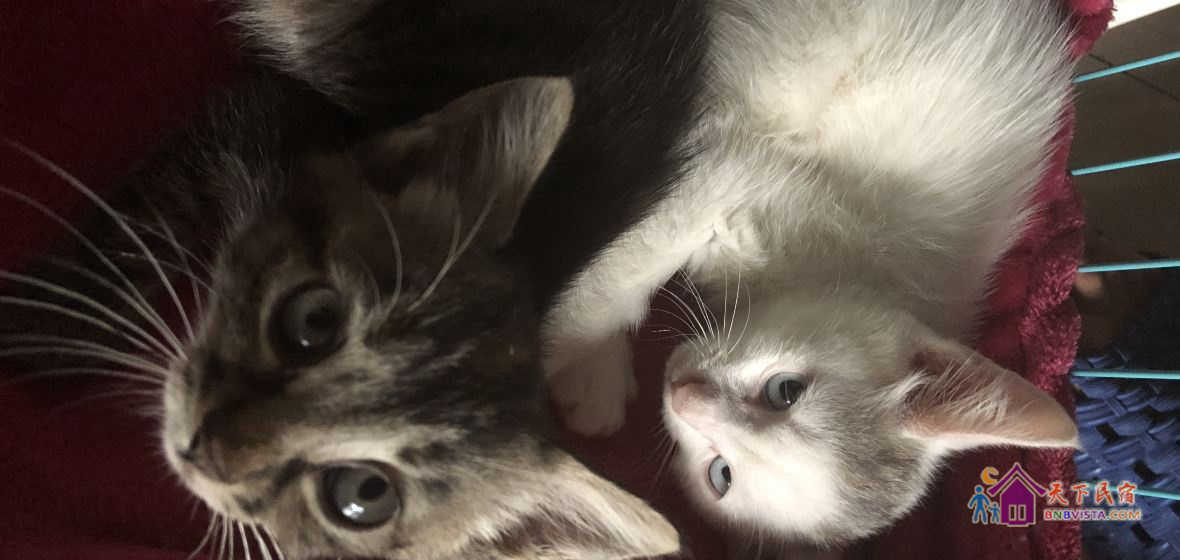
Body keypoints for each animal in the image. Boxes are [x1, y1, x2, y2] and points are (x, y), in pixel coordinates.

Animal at [541, 0, 1082, 546]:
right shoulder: (732, 173)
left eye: (721, 474)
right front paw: (571, 354)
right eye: (787, 390)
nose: (683, 394)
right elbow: (622, 269)